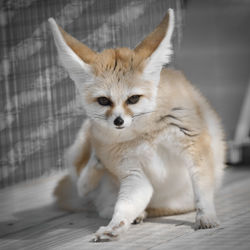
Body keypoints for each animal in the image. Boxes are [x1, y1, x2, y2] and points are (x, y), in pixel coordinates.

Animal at [48, 8, 225, 241]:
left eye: (133, 99)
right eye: (103, 100)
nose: (119, 121)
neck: (146, 134)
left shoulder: (194, 146)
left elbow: (202, 188)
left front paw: (206, 216)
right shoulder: (134, 173)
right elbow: (123, 207)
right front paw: (115, 226)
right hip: (82, 145)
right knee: (84, 189)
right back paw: (98, 169)